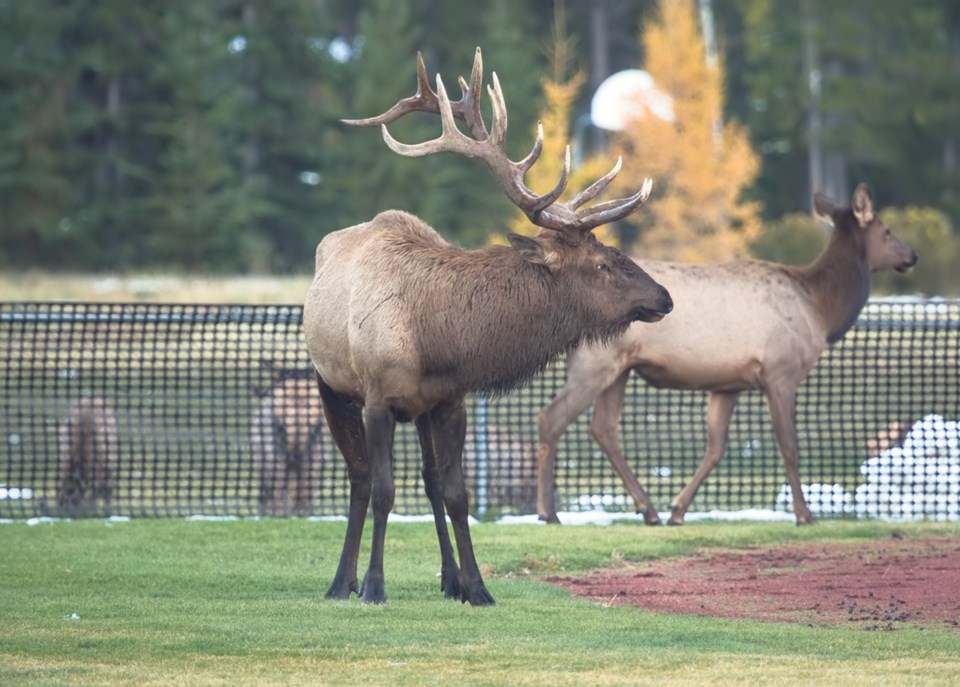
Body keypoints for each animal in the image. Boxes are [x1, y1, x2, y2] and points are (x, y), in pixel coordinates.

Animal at [304, 48, 672, 604]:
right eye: (602, 264)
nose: (664, 297)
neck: (436, 338)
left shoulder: (450, 400)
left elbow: (457, 493)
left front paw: (476, 587)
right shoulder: (376, 398)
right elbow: (385, 490)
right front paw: (374, 586)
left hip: (420, 411)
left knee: (430, 480)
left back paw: (448, 579)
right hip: (331, 387)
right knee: (361, 479)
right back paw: (341, 582)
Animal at [536, 183, 920, 528]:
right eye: (887, 230)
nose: (913, 256)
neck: (820, 310)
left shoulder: (728, 383)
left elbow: (716, 447)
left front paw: (678, 510)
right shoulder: (780, 373)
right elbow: (789, 446)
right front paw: (804, 515)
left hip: (620, 368)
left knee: (604, 429)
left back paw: (649, 509)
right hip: (594, 363)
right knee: (551, 419)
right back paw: (548, 512)